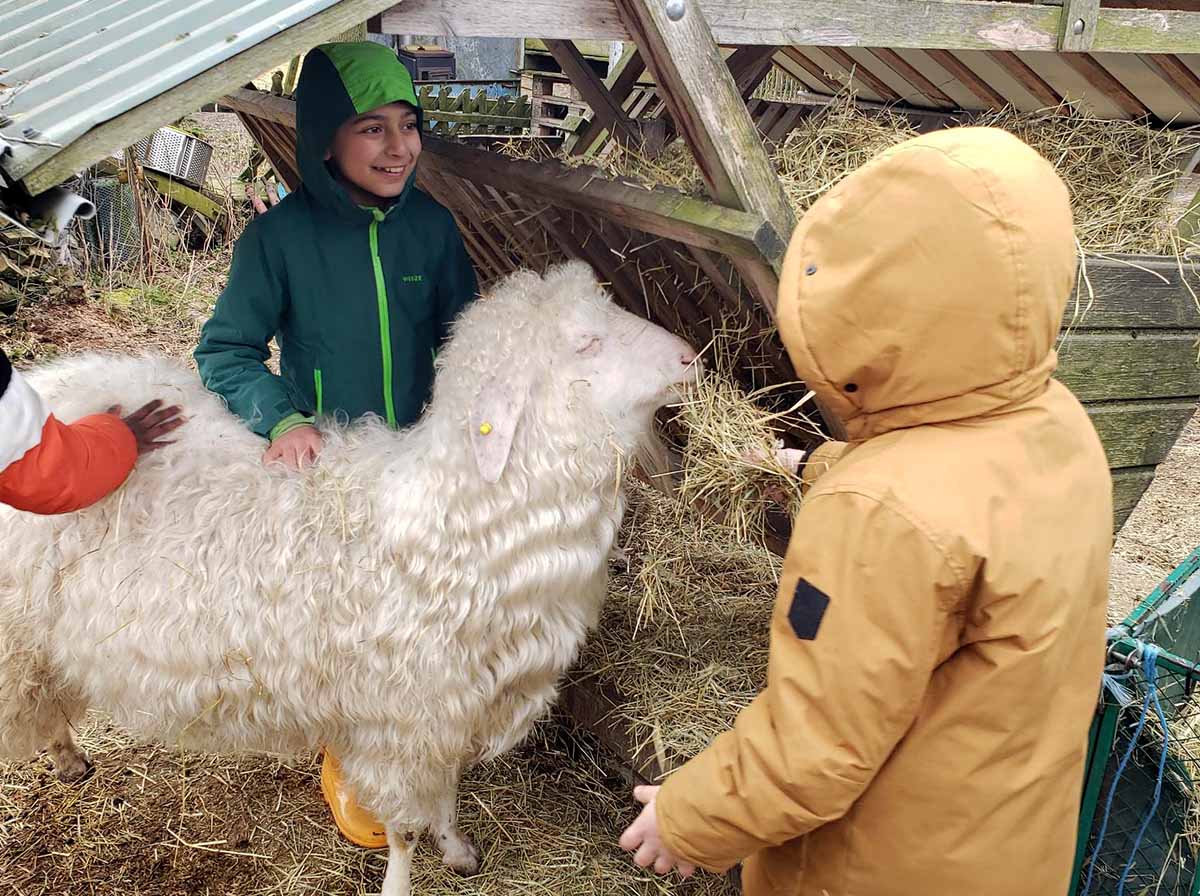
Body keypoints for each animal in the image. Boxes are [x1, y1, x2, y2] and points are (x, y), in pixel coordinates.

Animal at [0, 261, 699, 896]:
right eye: (586, 341)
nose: (692, 356)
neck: (458, 528)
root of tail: (47, 382)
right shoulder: (401, 723)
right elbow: (405, 830)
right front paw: (404, 879)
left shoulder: (447, 716)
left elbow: (446, 792)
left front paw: (458, 850)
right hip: (15, 637)